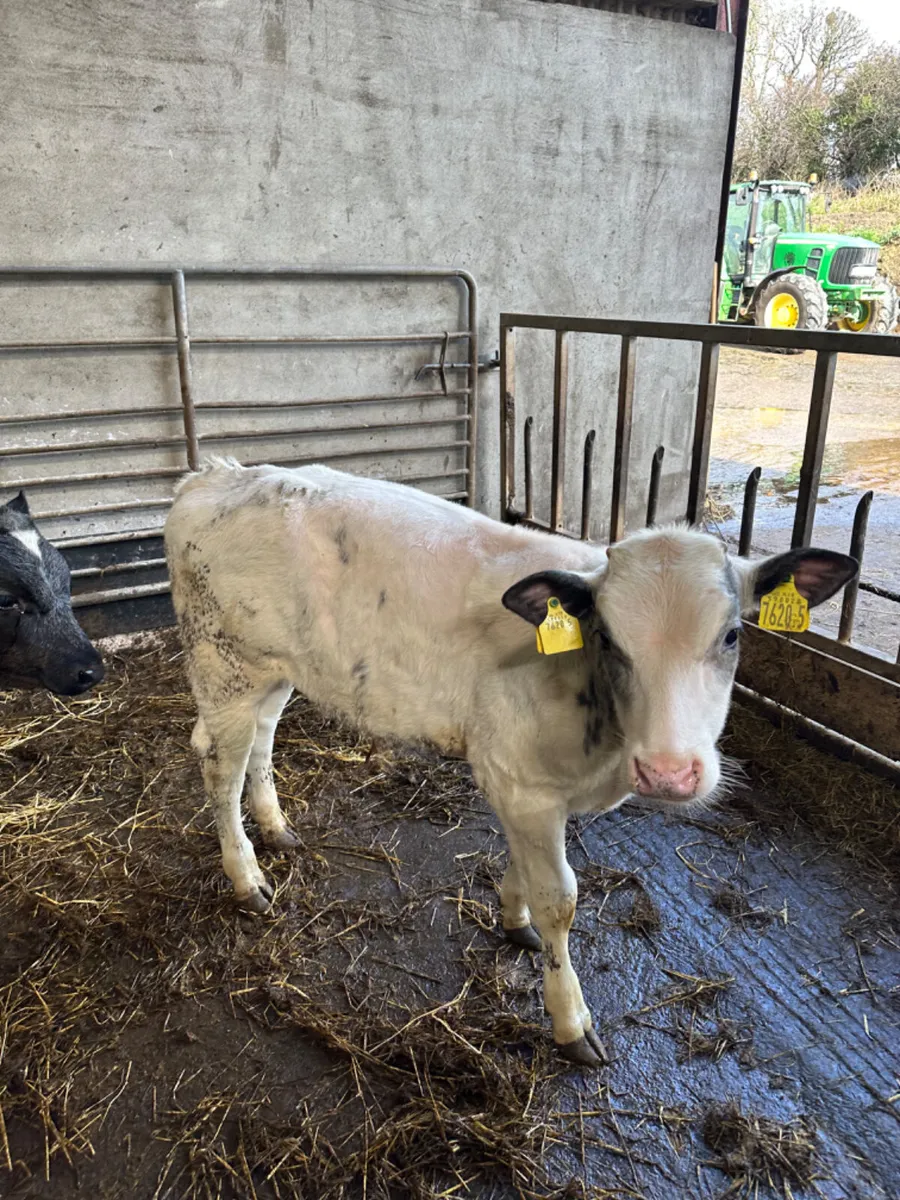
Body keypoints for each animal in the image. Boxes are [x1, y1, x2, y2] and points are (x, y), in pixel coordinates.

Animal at [164, 459, 857, 1066]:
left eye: (733, 634)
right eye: (609, 639)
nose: (669, 772)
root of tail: (217, 475)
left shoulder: (524, 785)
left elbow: (526, 868)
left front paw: (514, 916)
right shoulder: (523, 782)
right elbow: (562, 899)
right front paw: (569, 1019)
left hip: (275, 671)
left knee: (262, 740)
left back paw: (277, 827)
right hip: (224, 667)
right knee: (220, 769)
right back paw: (247, 877)